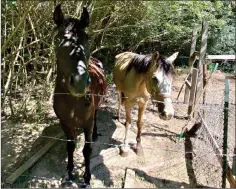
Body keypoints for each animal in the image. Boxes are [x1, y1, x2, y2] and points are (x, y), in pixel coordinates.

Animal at [52, 4, 107, 188]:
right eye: (58, 39)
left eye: (87, 37)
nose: (79, 82)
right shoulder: (65, 122)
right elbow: (71, 146)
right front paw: (69, 174)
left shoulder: (87, 123)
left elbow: (87, 150)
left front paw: (87, 178)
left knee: (96, 115)